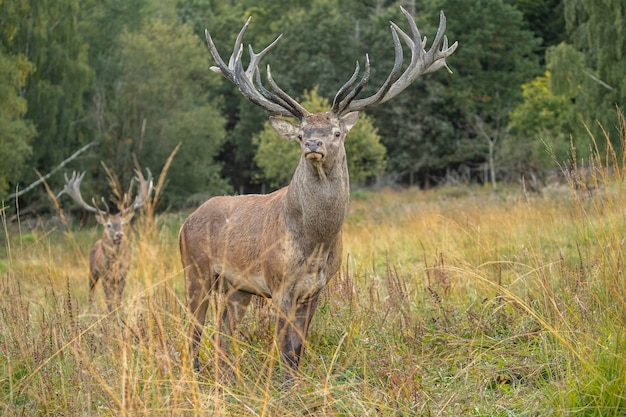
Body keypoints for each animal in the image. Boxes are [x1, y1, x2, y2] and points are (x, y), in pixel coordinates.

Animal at [57, 168, 154, 308]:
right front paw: (111, 313)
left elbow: (118, 299)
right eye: (108, 225)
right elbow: (109, 300)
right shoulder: (105, 276)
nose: (119, 234)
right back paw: (90, 306)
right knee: (91, 291)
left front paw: (119, 312)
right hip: (92, 270)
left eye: (122, 224)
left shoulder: (123, 275)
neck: (114, 263)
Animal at [178, 6, 456, 378]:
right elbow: (282, 347)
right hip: (195, 270)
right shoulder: (278, 282)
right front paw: (280, 385)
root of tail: (186, 221)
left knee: (222, 333)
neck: (316, 240)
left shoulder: (316, 288)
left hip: (237, 288)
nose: (313, 144)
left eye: (336, 132)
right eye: (300, 134)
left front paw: (294, 383)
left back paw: (226, 379)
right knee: (193, 333)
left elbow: (297, 349)